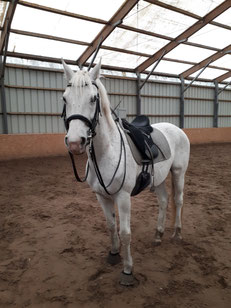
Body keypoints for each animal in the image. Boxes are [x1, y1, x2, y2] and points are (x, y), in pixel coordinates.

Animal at [61, 60, 189, 286]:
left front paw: (128, 270)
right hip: (159, 180)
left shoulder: (123, 197)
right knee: (164, 201)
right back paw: (158, 235)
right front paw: (113, 254)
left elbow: (125, 232)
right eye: (65, 98)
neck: (106, 151)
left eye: (93, 98)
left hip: (178, 173)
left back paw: (176, 234)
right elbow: (111, 226)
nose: (75, 143)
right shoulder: (101, 196)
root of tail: (177, 129)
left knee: (179, 201)